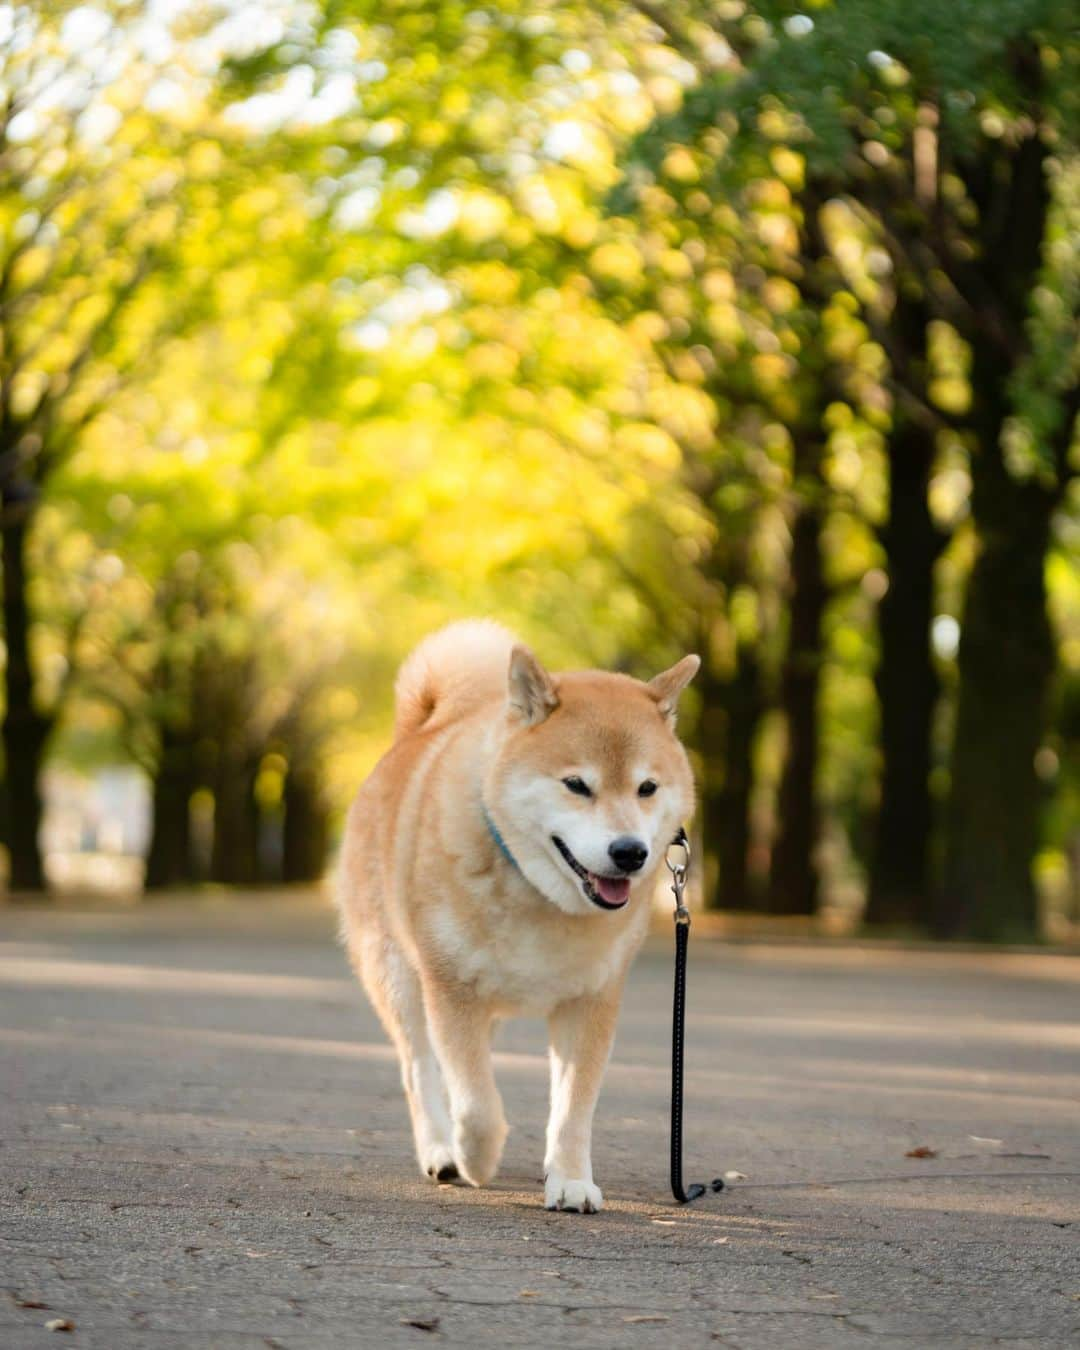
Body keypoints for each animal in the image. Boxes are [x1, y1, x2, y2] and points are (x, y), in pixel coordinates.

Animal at [337, 618, 702, 1209]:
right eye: (577, 784)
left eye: (647, 788)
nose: (630, 852)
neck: (538, 895)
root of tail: (412, 735)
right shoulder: (451, 989)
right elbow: (476, 1103)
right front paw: (477, 1158)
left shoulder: (590, 1001)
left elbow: (572, 1109)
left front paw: (570, 1180)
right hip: (398, 975)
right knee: (421, 1071)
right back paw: (442, 1151)